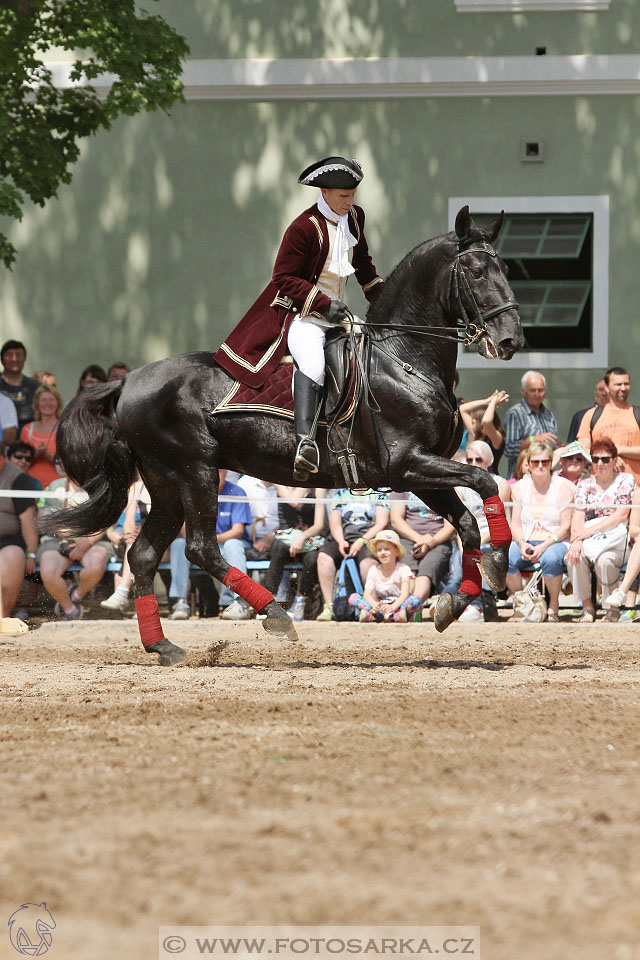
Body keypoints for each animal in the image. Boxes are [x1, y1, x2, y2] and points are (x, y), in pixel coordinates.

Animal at [52, 206, 524, 664]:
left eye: (505, 269)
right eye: (477, 272)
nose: (511, 340)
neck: (403, 359)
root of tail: (127, 380)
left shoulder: (421, 475)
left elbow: (468, 525)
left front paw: (454, 603)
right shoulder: (407, 464)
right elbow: (483, 483)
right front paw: (499, 564)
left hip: (166, 484)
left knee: (145, 555)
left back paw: (164, 647)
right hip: (194, 471)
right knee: (200, 549)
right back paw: (274, 613)